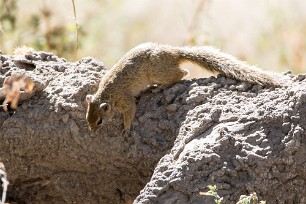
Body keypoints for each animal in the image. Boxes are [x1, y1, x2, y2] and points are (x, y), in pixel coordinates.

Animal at [85, 42, 284, 131]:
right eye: (87, 119)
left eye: (99, 121)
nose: (93, 132)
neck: (106, 94)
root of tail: (173, 52)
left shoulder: (125, 100)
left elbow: (130, 111)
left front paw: (126, 129)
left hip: (158, 72)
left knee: (182, 74)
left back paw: (159, 87)